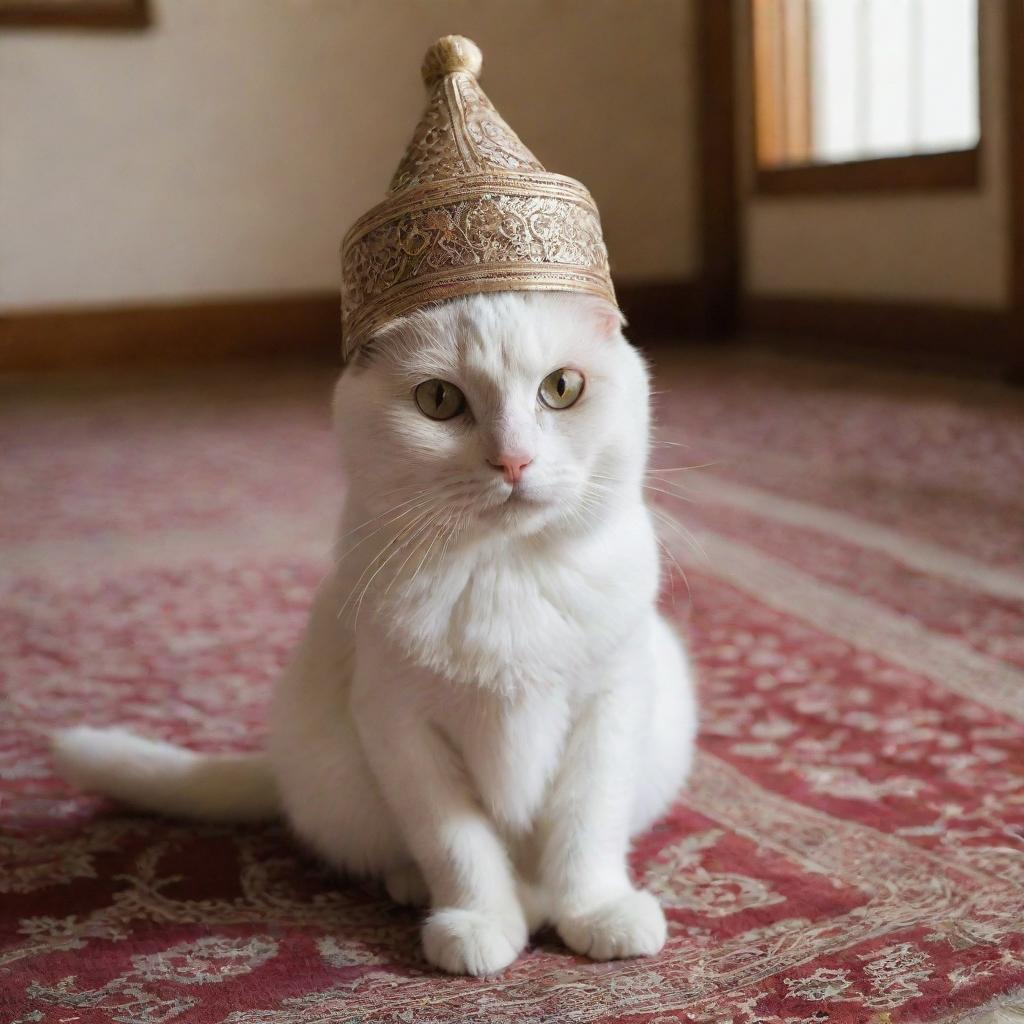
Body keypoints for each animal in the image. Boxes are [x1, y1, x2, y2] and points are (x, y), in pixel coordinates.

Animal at [51, 294, 700, 974]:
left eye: (562, 388)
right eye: (438, 399)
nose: (513, 459)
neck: (504, 574)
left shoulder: (609, 707)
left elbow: (586, 827)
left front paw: (597, 912)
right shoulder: (401, 724)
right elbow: (456, 842)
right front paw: (480, 923)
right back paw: (444, 890)